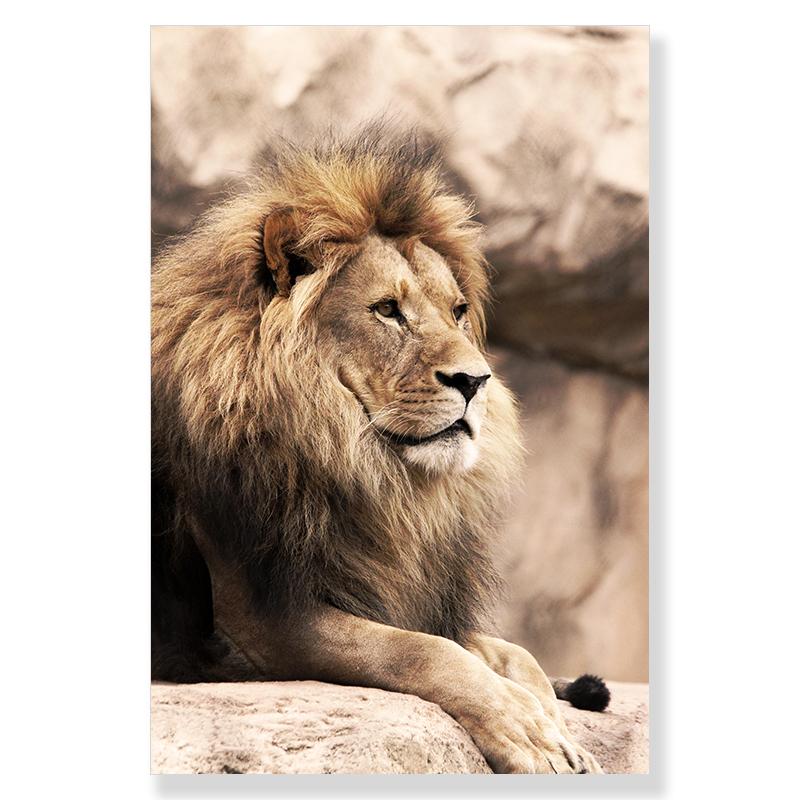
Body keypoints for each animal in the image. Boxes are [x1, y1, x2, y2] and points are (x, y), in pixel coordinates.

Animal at [151, 124, 609, 774]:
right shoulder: (260, 618)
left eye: (458, 312)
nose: (476, 381)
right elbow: (422, 652)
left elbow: (516, 658)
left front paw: (554, 730)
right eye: (388, 310)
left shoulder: (400, 590)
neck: (366, 470)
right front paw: (529, 736)